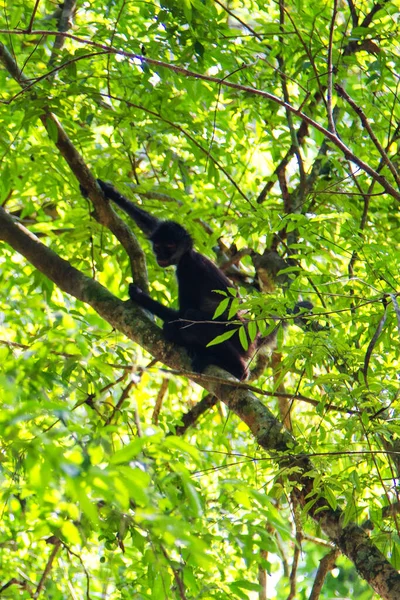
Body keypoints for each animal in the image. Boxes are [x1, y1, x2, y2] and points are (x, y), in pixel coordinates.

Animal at [84, 178, 276, 382]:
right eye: (158, 246)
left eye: (170, 246)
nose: (161, 256)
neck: (187, 255)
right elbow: (150, 223)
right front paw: (107, 189)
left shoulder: (188, 269)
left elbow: (183, 314)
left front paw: (139, 295)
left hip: (236, 338)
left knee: (190, 317)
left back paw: (236, 369)